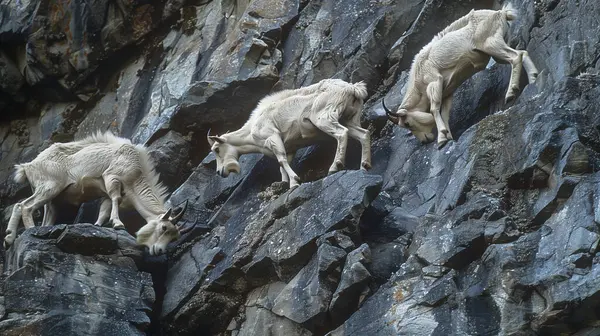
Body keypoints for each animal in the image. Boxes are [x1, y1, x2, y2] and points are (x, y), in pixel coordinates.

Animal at [2, 132, 190, 255]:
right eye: (164, 228)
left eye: (174, 237)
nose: (159, 250)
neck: (137, 174)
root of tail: (27, 167)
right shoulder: (112, 177)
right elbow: (115, 198)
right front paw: (118, 224)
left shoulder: (105, 194)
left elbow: (104, 209)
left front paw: (99, 225)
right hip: (50, 187)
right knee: (26, 206)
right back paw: (29, 230)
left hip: (52, 199)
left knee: (29, 209)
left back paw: (9, 239)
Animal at [207, 79, 370, 189]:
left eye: (217, 149)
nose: (220, 172)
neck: (251, 131)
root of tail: (352, 88)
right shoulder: (289, 147)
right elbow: (283, 163)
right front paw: (286, 184)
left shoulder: (272, 137)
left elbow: (281, 160)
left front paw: (295, 181)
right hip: (350, 119)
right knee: (364, 134)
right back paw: (365, 166)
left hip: (324, 117)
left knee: (342, 133)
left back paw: (335, 166)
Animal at [384, 2, 540, 147]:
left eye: (407, 124)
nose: (425, 140)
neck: (418, 75)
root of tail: (501, 13)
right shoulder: (447, 91)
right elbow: (445, 113)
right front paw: (448, 136)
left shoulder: (434, 82)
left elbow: (434, 109)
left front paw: (441, 138)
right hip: (498, 49)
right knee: (522, 53)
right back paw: (533, 78)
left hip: (491, 44)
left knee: (515, 57)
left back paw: (511, 93)